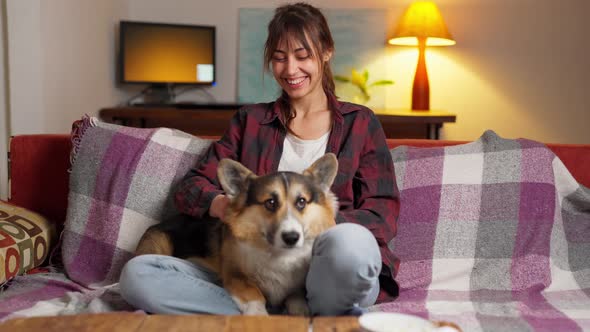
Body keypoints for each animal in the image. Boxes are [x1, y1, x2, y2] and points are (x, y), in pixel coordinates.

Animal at [134, 152, 338, 314]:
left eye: (301, 202)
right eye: (270, 202)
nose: (292, 238)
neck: (276, 254)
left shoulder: (296, 290)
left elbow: (299, 304)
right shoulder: (236, 276)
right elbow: (255, 296)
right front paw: (259, 316)